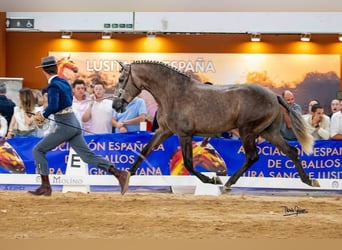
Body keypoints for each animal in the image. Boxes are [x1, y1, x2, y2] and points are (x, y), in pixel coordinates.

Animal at [113, 60, 320, 193]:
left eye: (122, 79)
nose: (116, 105)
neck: (173, 93)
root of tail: (274, 96)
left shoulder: (184, 134)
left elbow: (189, 163)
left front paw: (212, 179)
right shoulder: (165, 131)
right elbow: (145, 150)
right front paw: (126, 177)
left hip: (247, 132)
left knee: (252, 156)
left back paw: (228, 183)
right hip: (269, 132)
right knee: (291, 151)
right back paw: (309, 180)